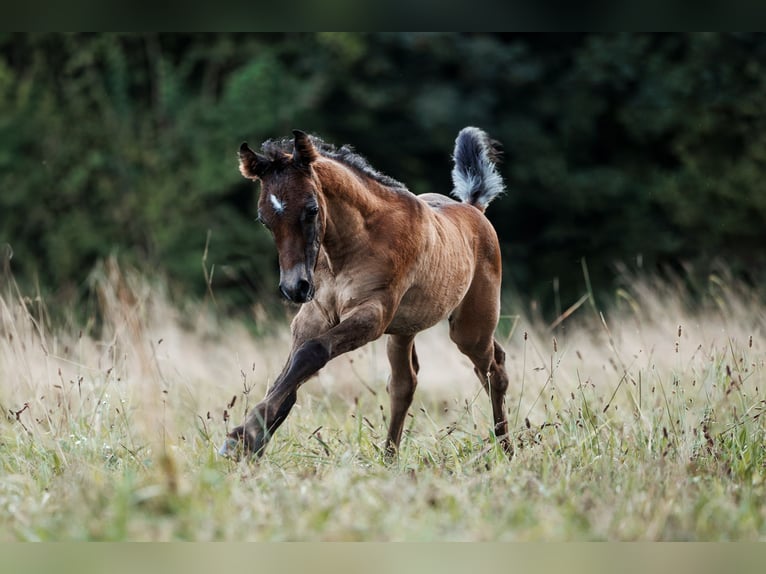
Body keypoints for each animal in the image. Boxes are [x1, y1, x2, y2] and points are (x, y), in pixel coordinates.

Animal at [219, 128, 512, 462]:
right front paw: (253, 440)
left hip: (470, 328)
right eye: (264, 219)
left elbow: (311, 353)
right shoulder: (314, 316)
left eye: (312, 209)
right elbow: (293, 373)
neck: (349, 248)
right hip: (404, 330)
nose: (295, 287)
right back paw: (389, 458)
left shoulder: (372, 314)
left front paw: (242, 436)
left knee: (493, 371)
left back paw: (506, 449)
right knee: (405, 384)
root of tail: (474, 208)